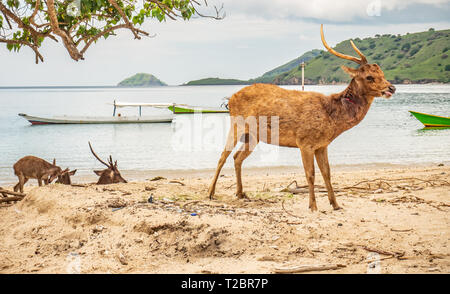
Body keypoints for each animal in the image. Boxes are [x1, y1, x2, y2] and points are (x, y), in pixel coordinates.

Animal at [209, 24, 396, 210]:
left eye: (382, 73)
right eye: (369, 77)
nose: (391, 88)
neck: (332, 119)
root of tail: (230, 99)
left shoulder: (322, 145)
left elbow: (327, 173)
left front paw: (335, 204)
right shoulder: (305, 142)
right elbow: (310, 174)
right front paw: (313, 206)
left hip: (254, 136)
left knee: (237, 157)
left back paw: (240, 193)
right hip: (236, 125)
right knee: (222, 156)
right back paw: (211, 193)